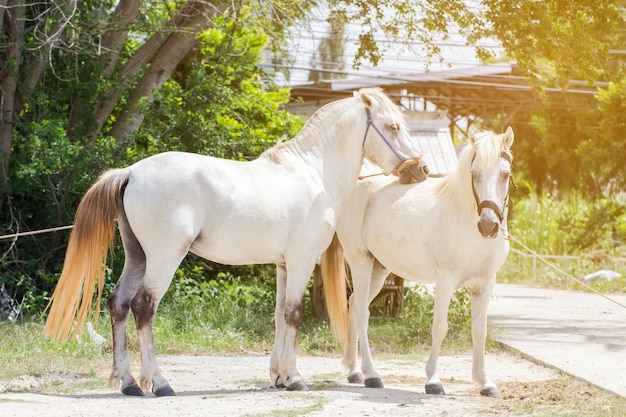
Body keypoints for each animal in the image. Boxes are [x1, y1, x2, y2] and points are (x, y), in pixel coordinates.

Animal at [41, 86, 426, 394]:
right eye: (393, 126)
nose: (420, 169)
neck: (312, 171)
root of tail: (132, 172)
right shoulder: (302, 260)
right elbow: (294, 314)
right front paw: (295, 378)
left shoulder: (283, 265)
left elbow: (279, 315)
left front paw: (278, 377)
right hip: (164, 259)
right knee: (143, 307)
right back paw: (159, 382)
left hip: (138, 257)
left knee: (118, 304)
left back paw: (128, 382)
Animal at [322, 127, 512, 396]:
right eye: (474, 174)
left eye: (505, 175)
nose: (488, 226)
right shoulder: (445, 281)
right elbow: (440, 327)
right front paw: (433, 380)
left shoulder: (484, 285)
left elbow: (480, 331)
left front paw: (485, 383)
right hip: (360, 261)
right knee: (360, 312)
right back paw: (371, 375)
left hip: (378, 270)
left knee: (353, 304)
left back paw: (354, 370)